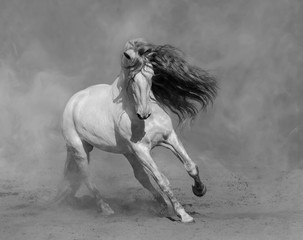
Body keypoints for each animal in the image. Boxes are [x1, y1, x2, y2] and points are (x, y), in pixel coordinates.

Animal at [54, 38, 218, 223]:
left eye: (152, 75)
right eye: (132, 78)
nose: (144, 113)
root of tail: (73, 101)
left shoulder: (169, 137)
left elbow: (190, 166)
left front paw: (199, 189)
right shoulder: (142, 150)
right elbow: (162, 180)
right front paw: (183, 214)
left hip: (127, 152)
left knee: (141, 177)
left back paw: (163, 206)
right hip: (80, 149)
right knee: (86, 177)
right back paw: (106, 208)